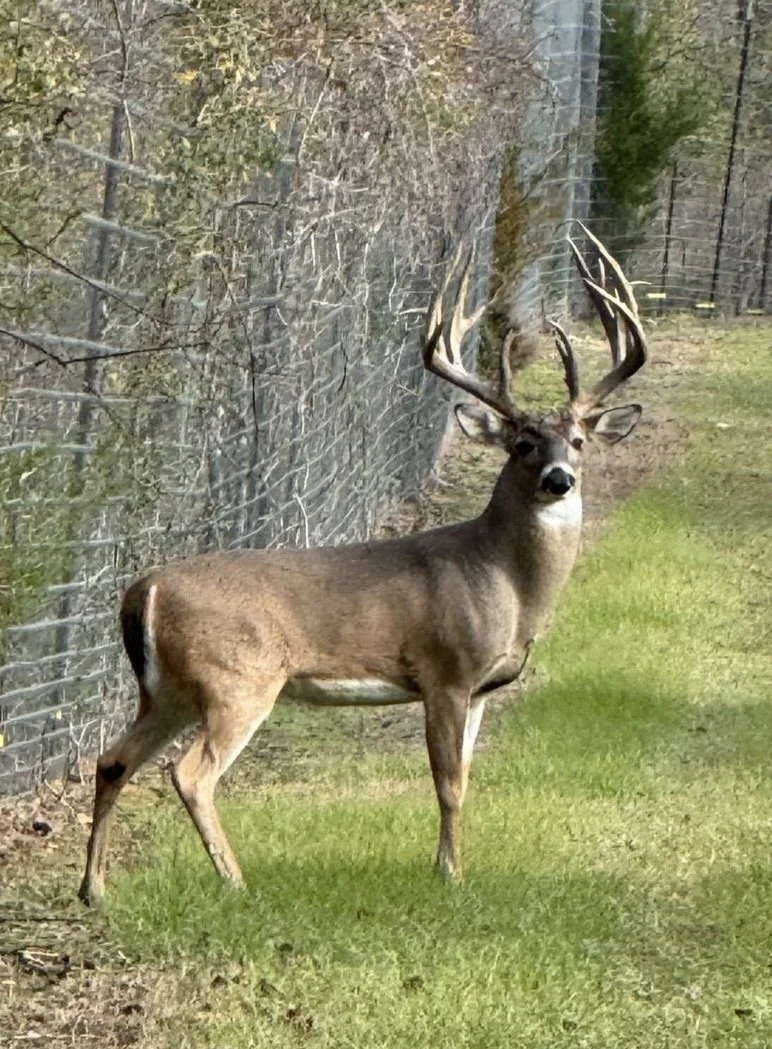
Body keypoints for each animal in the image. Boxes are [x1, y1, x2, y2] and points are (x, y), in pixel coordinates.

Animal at [78, 226, 647, 905]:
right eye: (522, 445)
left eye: (578, 442)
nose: (560, 479)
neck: (504, 580)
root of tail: (145, 590)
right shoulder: (445, 672)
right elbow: (449, 783)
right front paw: (449, 875)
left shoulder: (483, 688)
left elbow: (467, 777)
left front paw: (452, 867)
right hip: (237, 679)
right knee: (189, 775)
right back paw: (236, 882)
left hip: (168, 691)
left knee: (112, 760)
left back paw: (94, 890)